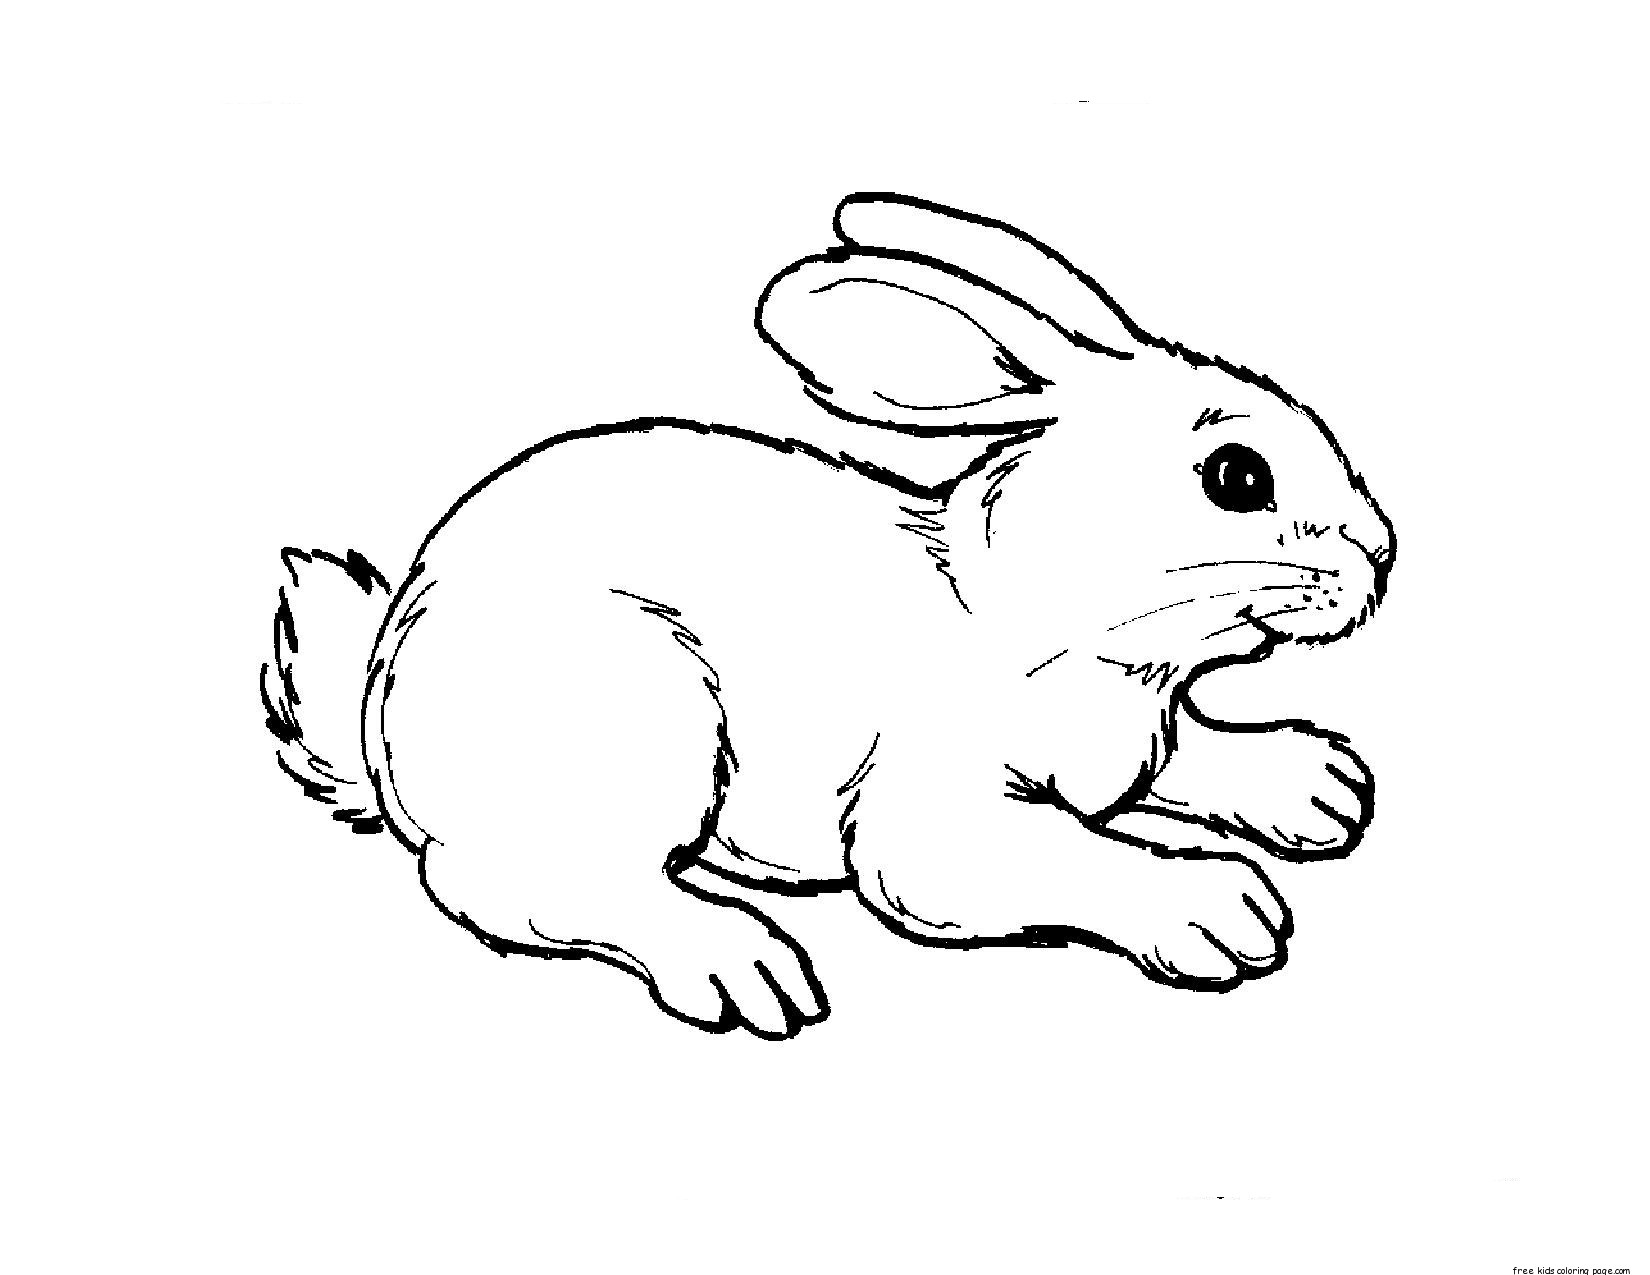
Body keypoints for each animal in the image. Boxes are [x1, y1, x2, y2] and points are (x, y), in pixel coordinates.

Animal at [261, 192, 1394, 1040]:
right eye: (1237, 476)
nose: (1382, 554)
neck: (1046, 612)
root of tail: (380, 725)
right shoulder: (937, 821)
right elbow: (1060, 855)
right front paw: (1222, 909)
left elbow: (1185, 758)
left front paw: (1319, 787)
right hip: (640, 717)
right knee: (524, 887)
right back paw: (741, 963)